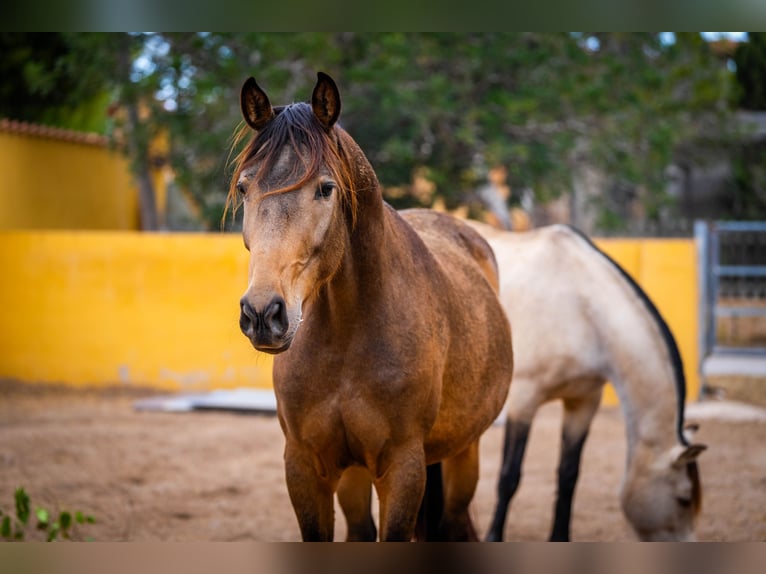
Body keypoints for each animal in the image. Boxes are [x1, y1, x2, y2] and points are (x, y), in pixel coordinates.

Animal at [227, 72, 513, 541]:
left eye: (326, 188)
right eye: (243, 188)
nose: (262, 314)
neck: (347, 335)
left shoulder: (402, 469)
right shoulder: (305, 467)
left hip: (463, 453)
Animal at [466, 221, 707, 541]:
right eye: (683, 499)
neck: (582, 309)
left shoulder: (583, 403)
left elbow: (569, 476)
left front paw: (560, 536)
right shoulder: (523, 401)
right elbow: (509, 476)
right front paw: (493, 535)